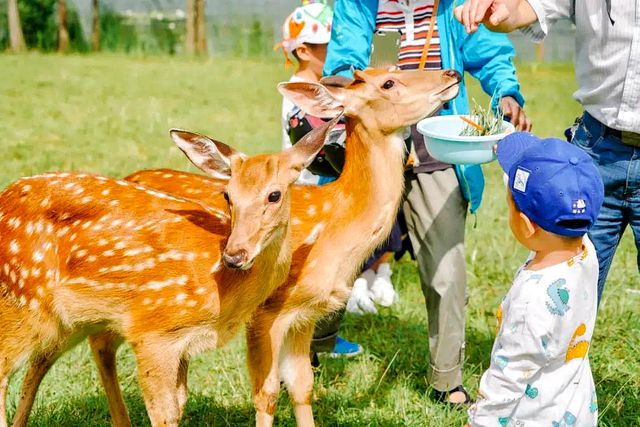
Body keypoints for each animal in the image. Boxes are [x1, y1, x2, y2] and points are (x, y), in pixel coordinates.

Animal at [0, 117, 340, 427]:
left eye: (274, 194)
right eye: (227, 195)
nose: (235, 255)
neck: (221, 286)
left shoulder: (181, 342)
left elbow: (178, 405)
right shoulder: (152, 331)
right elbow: (163, 414)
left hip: (68, 318)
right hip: (23, 300)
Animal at [126, 68, 464, 426]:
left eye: (397, 70)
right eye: (388, 83)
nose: (451, 73)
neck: (335, 224)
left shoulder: (305, 312)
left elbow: (303, 386)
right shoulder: (268, 310)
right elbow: (267, 394)